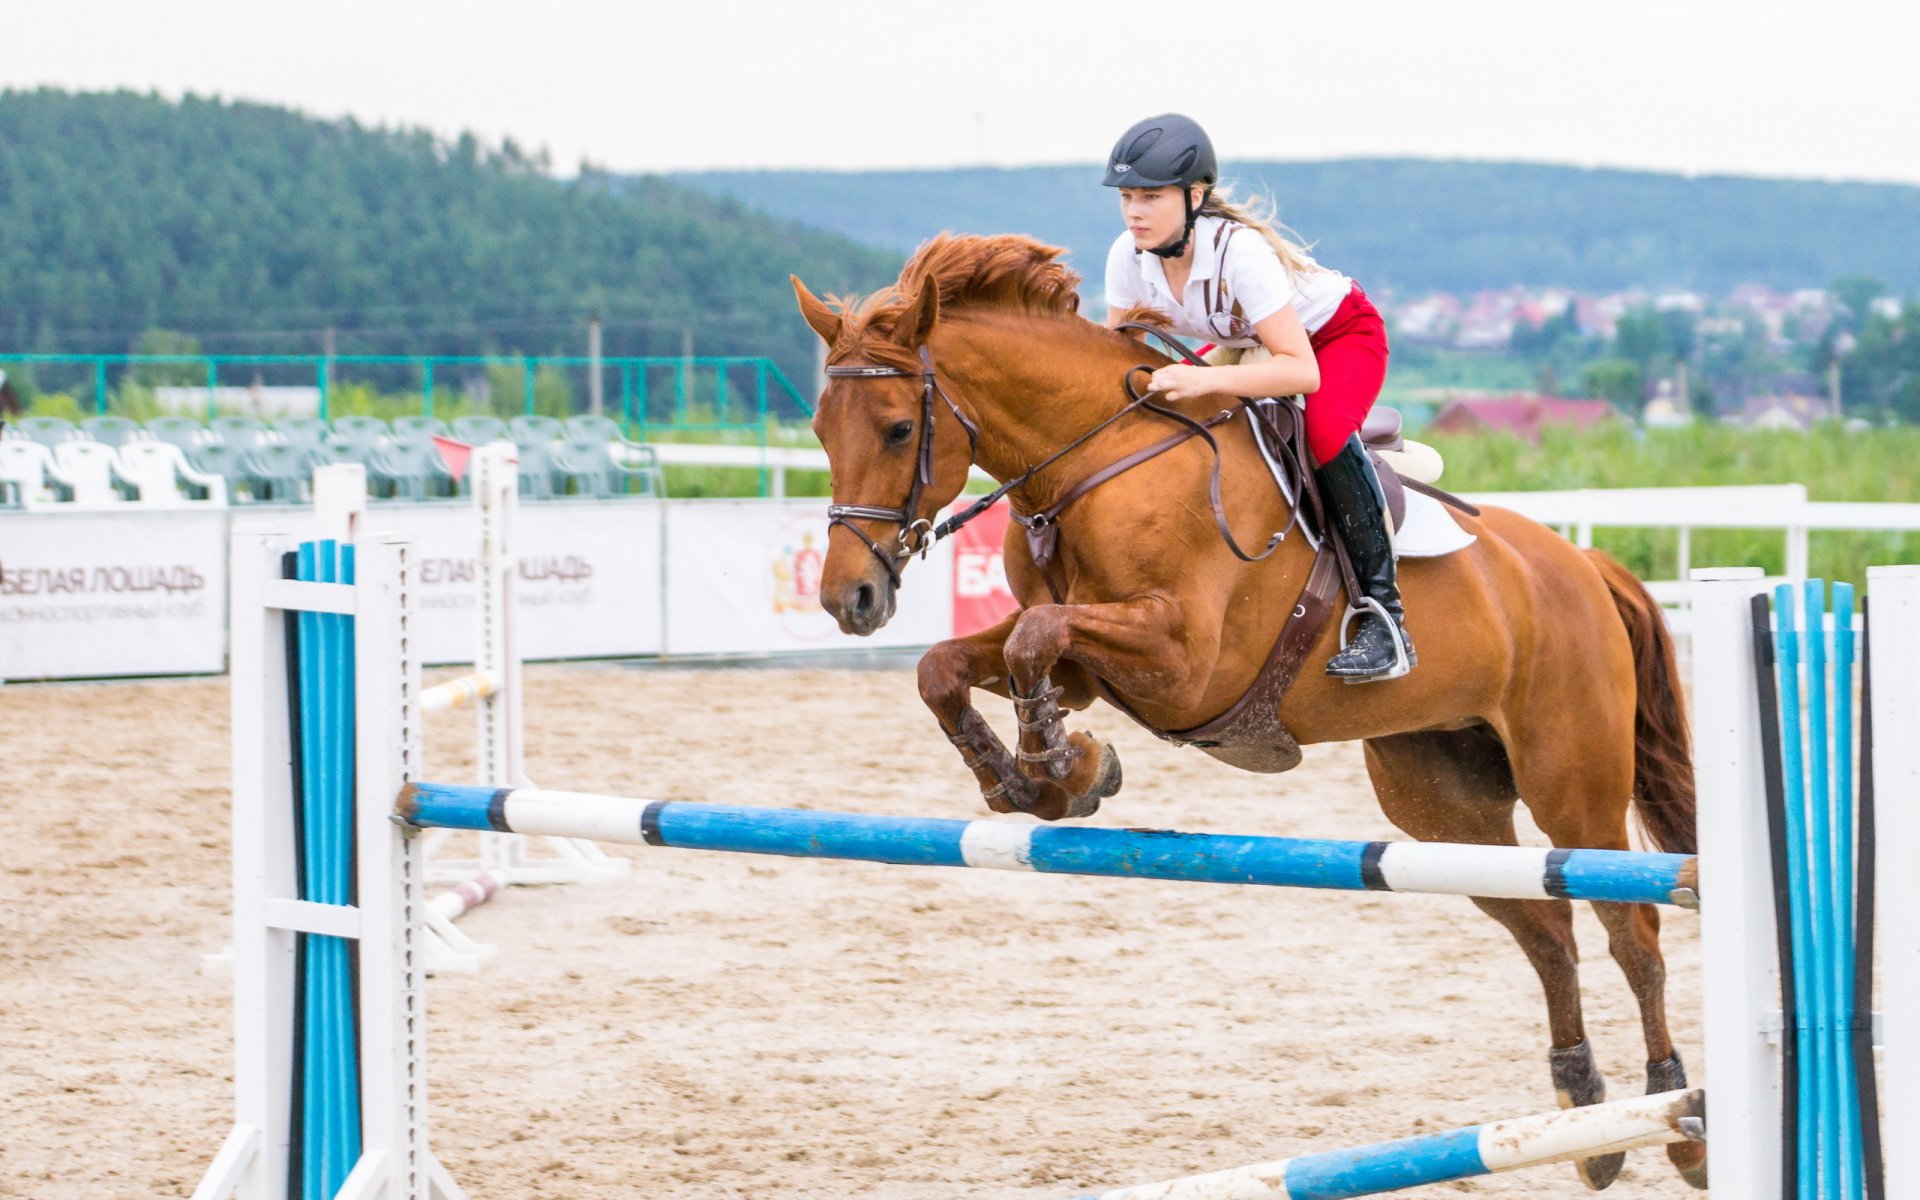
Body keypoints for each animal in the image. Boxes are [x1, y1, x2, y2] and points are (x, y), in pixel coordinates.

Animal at [790, 234, 1704, 1191]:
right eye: (819, 431)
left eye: (899, 428)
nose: (850, 599)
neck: (1095, 464)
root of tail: (1584, 566)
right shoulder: (1085, 669)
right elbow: (954, 666)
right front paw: (1045, 781)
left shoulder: (1184, 662)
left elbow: (1034, 639)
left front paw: (1060, 771)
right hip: (1441, 800)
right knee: (1547, 926)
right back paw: (1589, 1120)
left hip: (1573, 781)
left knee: (1630, 927)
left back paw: (1677, 1120)